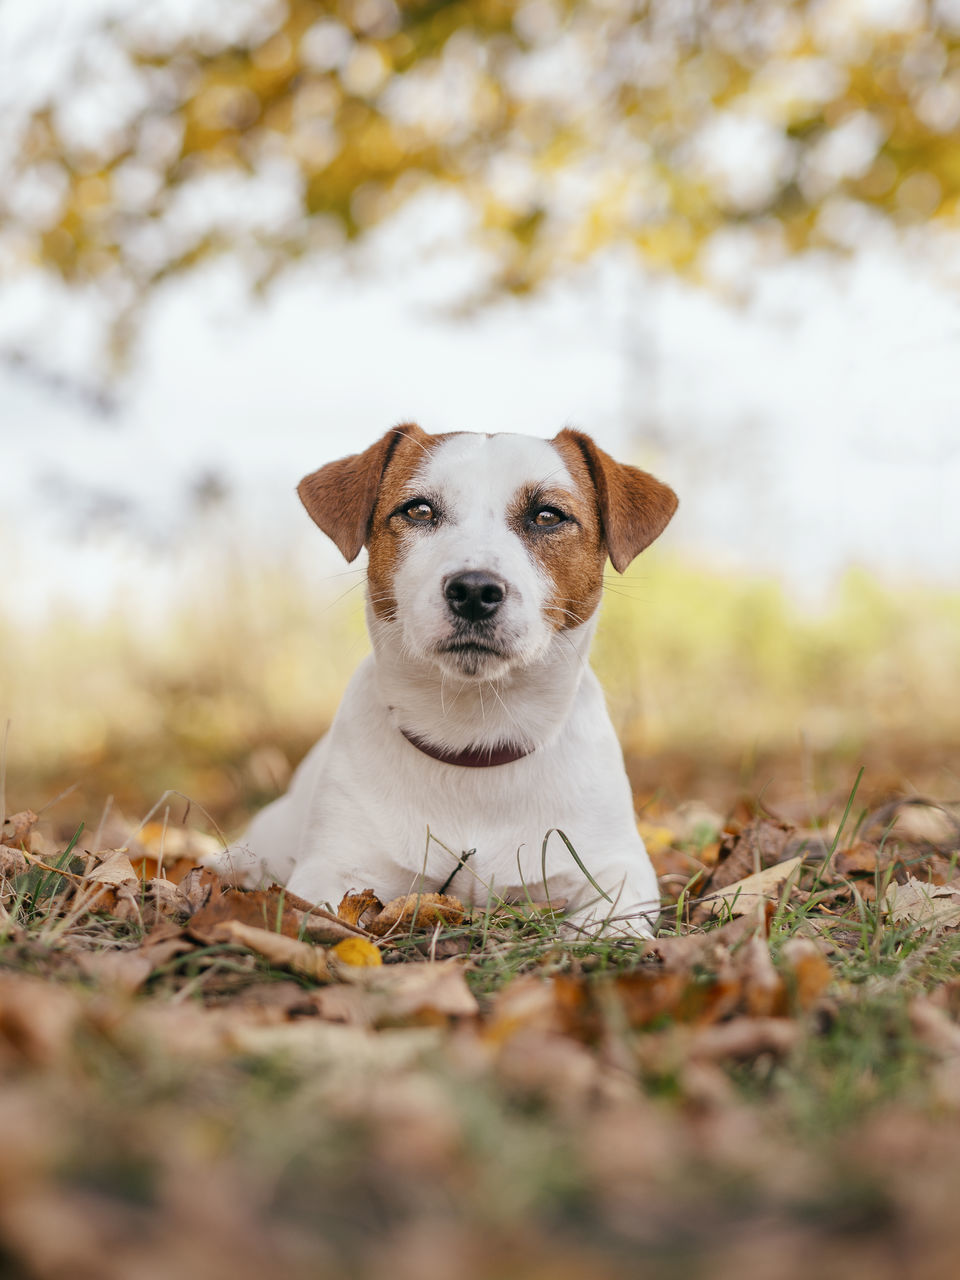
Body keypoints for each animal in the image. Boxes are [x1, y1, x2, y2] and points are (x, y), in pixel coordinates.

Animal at [209, 424, 675, 936]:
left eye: (547, 516)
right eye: (418, 510)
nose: (474, 590)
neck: (475, 737)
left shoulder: (616, 866)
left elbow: (610, 922)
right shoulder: (332, 871)